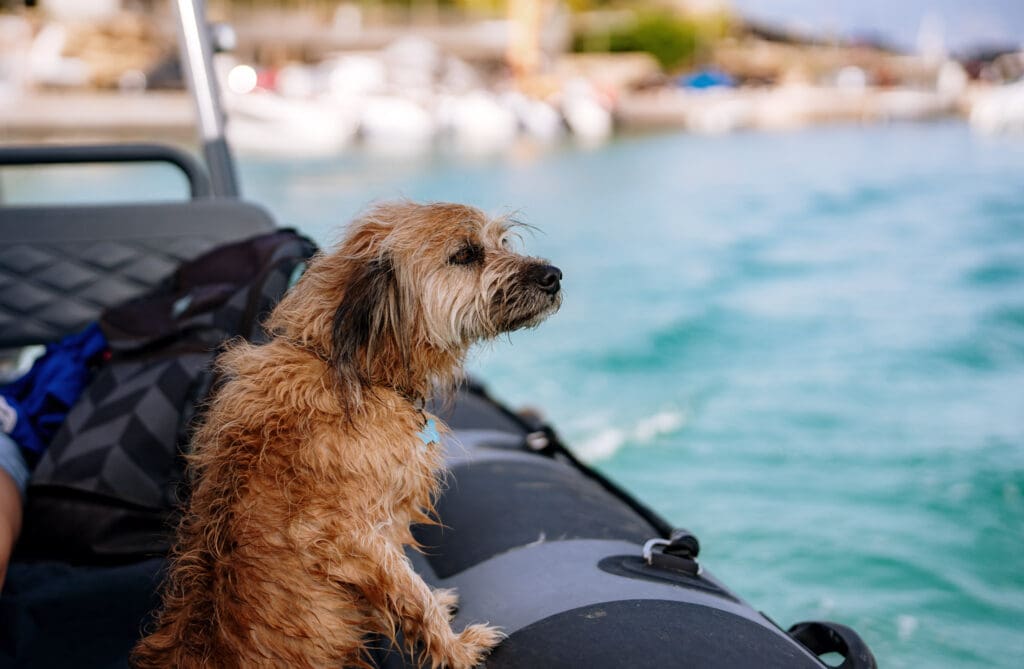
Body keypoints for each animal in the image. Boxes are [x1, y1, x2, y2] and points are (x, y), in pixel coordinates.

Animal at [132, 202, 562, 668]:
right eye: (465, 255)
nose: (554, 275)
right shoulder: (349, 537)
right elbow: (411, 592)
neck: (357, 367)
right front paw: (457, 650)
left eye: (502, 241)